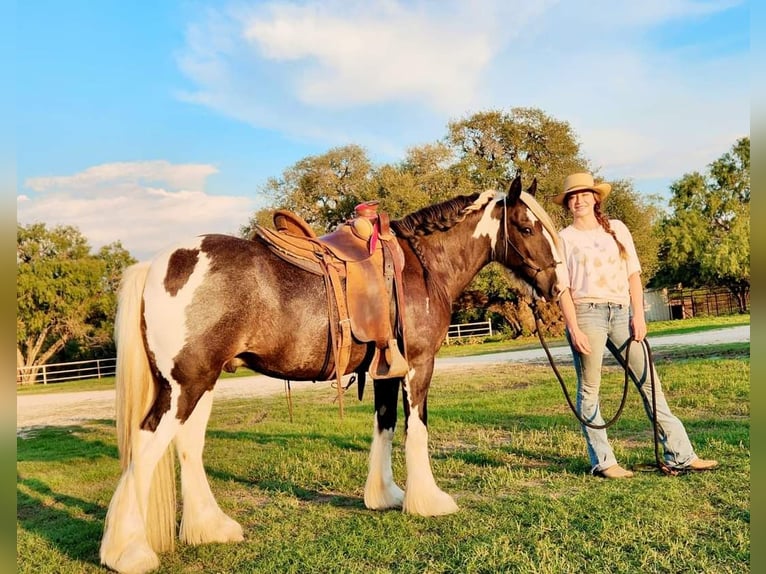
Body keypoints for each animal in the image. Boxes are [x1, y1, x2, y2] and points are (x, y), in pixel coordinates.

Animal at [100, 177, 564, 574]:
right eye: (526, 226)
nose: (556, 286)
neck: (423, 264)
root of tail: (157, 264)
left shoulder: (384, 370)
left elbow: (385, 426)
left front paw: (385, 495)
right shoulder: (418, 365)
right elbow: (417, 429)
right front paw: (428, 500)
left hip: (203, 382)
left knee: (187, 446)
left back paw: (210, 528)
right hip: (184, 386)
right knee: (146, 445)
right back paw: (129, 551)